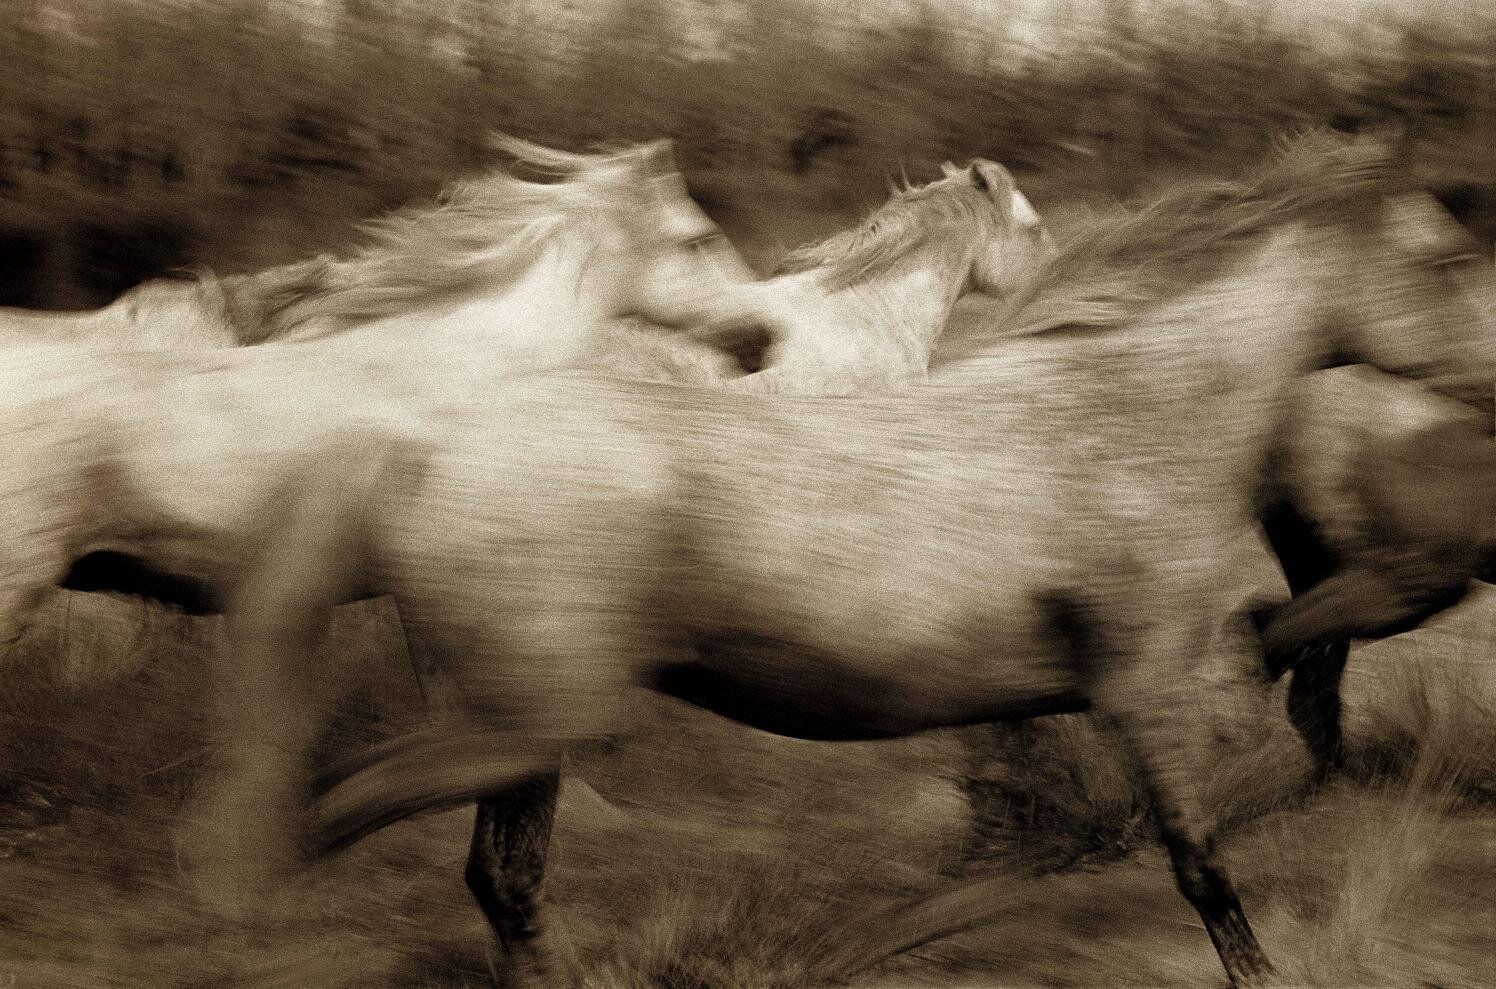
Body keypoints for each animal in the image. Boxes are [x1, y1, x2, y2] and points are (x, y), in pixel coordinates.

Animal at [212, 130, 1493, 988]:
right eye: (1439, 261)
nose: (1485, 383)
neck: (1124, 414)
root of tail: (422, 445)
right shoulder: (1145, 680)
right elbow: (1197, 856)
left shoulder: (1116, 682)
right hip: (523, 719)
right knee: (331, 814)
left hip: (522, 732)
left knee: (492, 875)